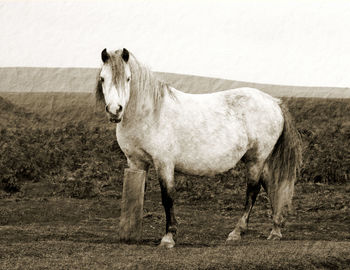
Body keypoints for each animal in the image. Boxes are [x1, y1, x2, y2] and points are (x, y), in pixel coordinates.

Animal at [94, 48, 302, 247]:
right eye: (102, 78)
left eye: (128, 78)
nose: (115, 110)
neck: (150, 114)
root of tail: (275, 102)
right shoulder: (135, 163)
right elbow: (134, 195)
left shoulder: (164, 163)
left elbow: (167, 197)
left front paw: (168, 237)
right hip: (259, 161)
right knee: (270, 185)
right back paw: (275, 230)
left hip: (256, 159)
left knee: (253, 190)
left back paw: (237, 232)